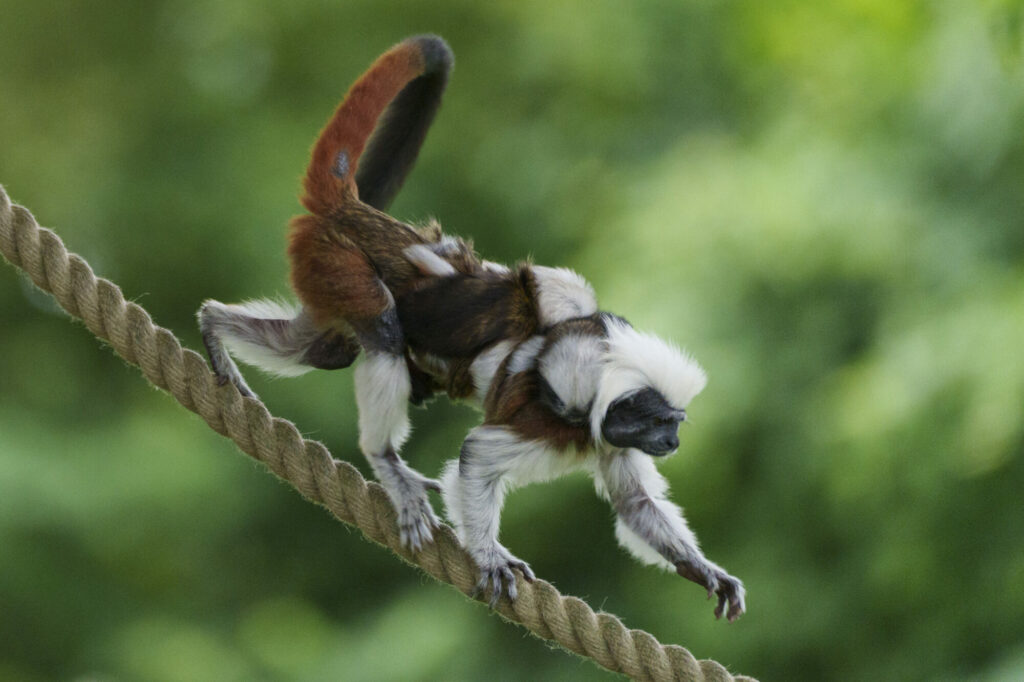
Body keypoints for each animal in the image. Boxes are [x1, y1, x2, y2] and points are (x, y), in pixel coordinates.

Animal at [198, 35, 746, 621]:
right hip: (340, 263)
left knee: (321, 349)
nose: (672, 442)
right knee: (382, 332)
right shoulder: (554, 416)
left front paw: (706, 571)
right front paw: (488, 555)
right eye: (660, 423)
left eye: (675, 423)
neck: (593, 404)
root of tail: (361, 217)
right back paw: (385, 459)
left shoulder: (608, 439)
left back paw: (213, 323)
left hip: (326, 272)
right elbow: (477, 454)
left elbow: (635, 502)